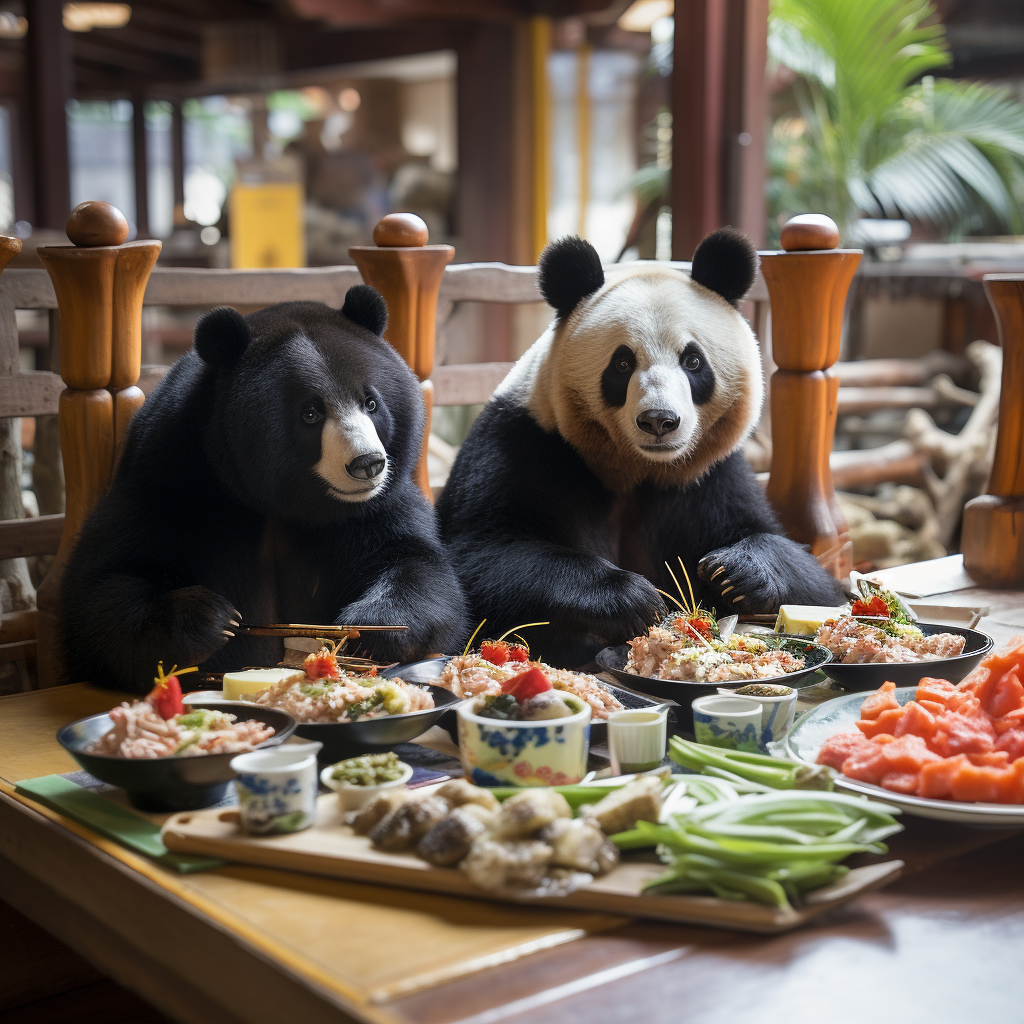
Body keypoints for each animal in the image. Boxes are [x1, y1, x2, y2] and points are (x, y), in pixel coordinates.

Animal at [440, 228, 847, 667]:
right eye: (621, 364)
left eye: (692, 361)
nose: (659, 421)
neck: (638, 468)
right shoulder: (524, 445)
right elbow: (484, 557)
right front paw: (632, 599)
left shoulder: (708, 475)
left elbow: (814, 580)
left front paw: (734, 572)